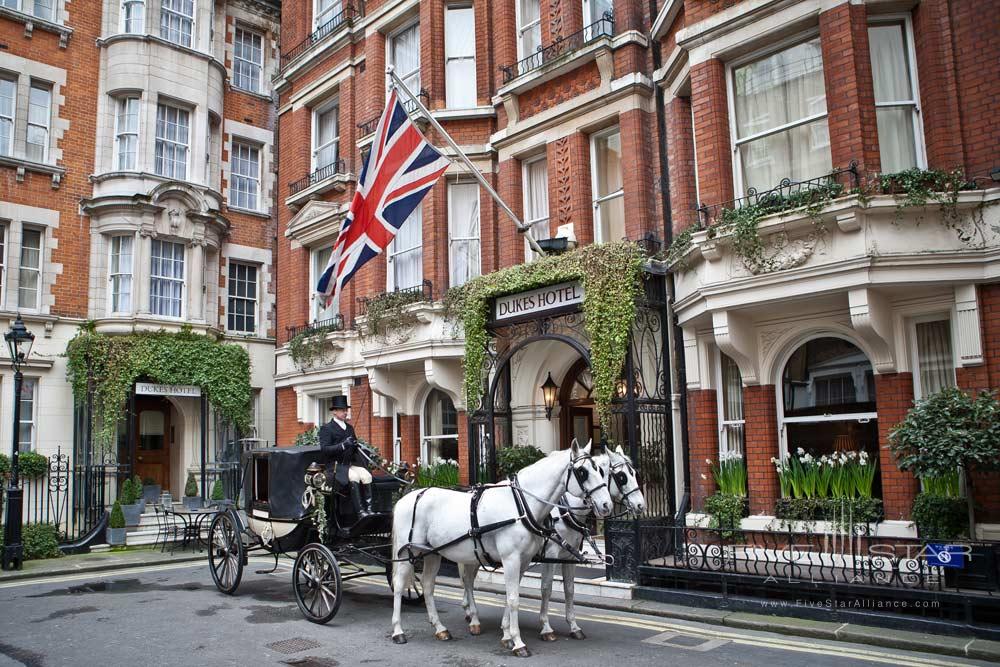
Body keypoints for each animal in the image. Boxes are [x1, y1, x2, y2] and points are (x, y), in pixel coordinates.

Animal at [392, 440, 612, 656]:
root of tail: (409, 496)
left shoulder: (524, 560)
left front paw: (507, 635)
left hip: (433, 553)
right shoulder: (511, 559)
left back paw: (440, 628)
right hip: (407, 553)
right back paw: (398, 631)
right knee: (399, 584)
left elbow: (511, 596)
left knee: (429, 586)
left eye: (599, 470)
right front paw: (519, 642)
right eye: (582, 472)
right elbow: (515, 599)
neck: (521, 506)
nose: (606, 505)